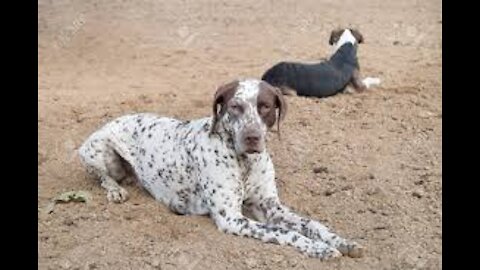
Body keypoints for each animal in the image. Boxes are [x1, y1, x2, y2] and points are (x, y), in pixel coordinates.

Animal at [79, 79, 364, 260]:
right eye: (235, 106)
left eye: (265, 106)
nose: (252, 137)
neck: (245, 162)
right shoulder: (232, 218)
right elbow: (286, 233)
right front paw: (319, 249)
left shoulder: (270, 207)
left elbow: (311, 223)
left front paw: (341, 241)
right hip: (95, 150)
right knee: (103, 177)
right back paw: (115, 190)